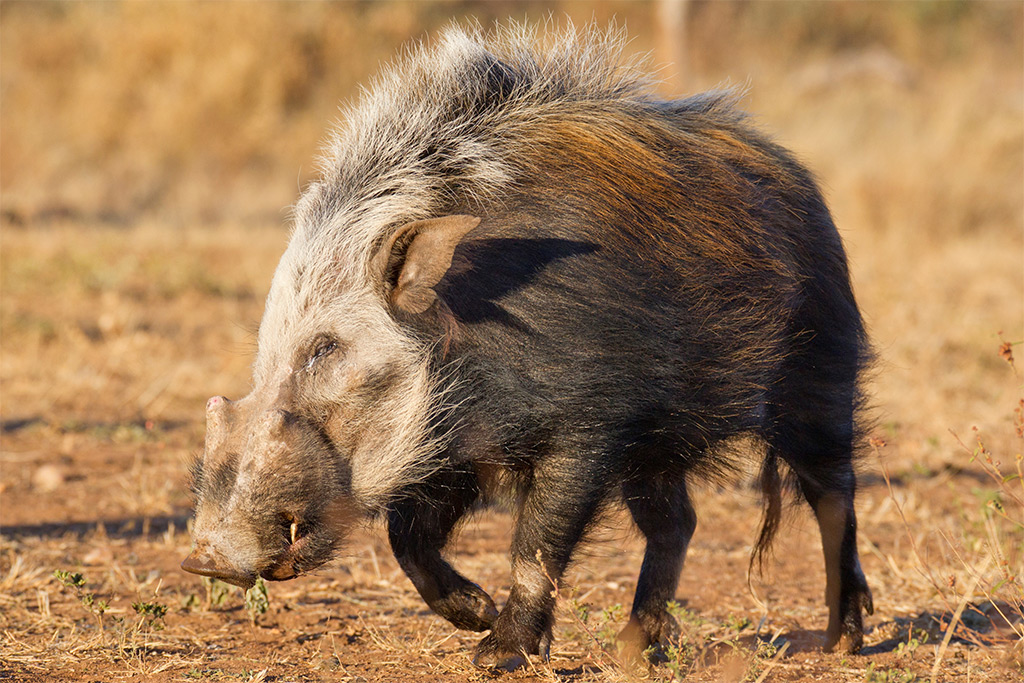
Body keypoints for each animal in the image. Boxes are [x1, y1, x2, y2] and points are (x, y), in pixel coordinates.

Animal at [182, 22, 872, 671]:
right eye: (267, 349)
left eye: (326, 348)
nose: (203, 558)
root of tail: (799, 181)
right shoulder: (460, 452)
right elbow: (408, 536)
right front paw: (479, 616)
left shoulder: (588, 428)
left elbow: (534, 543)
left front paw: (496, 654)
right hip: (656, 449)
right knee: (677, 523)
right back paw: (632, 651)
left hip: (821, 373)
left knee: (833, 493)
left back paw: (841, 642)